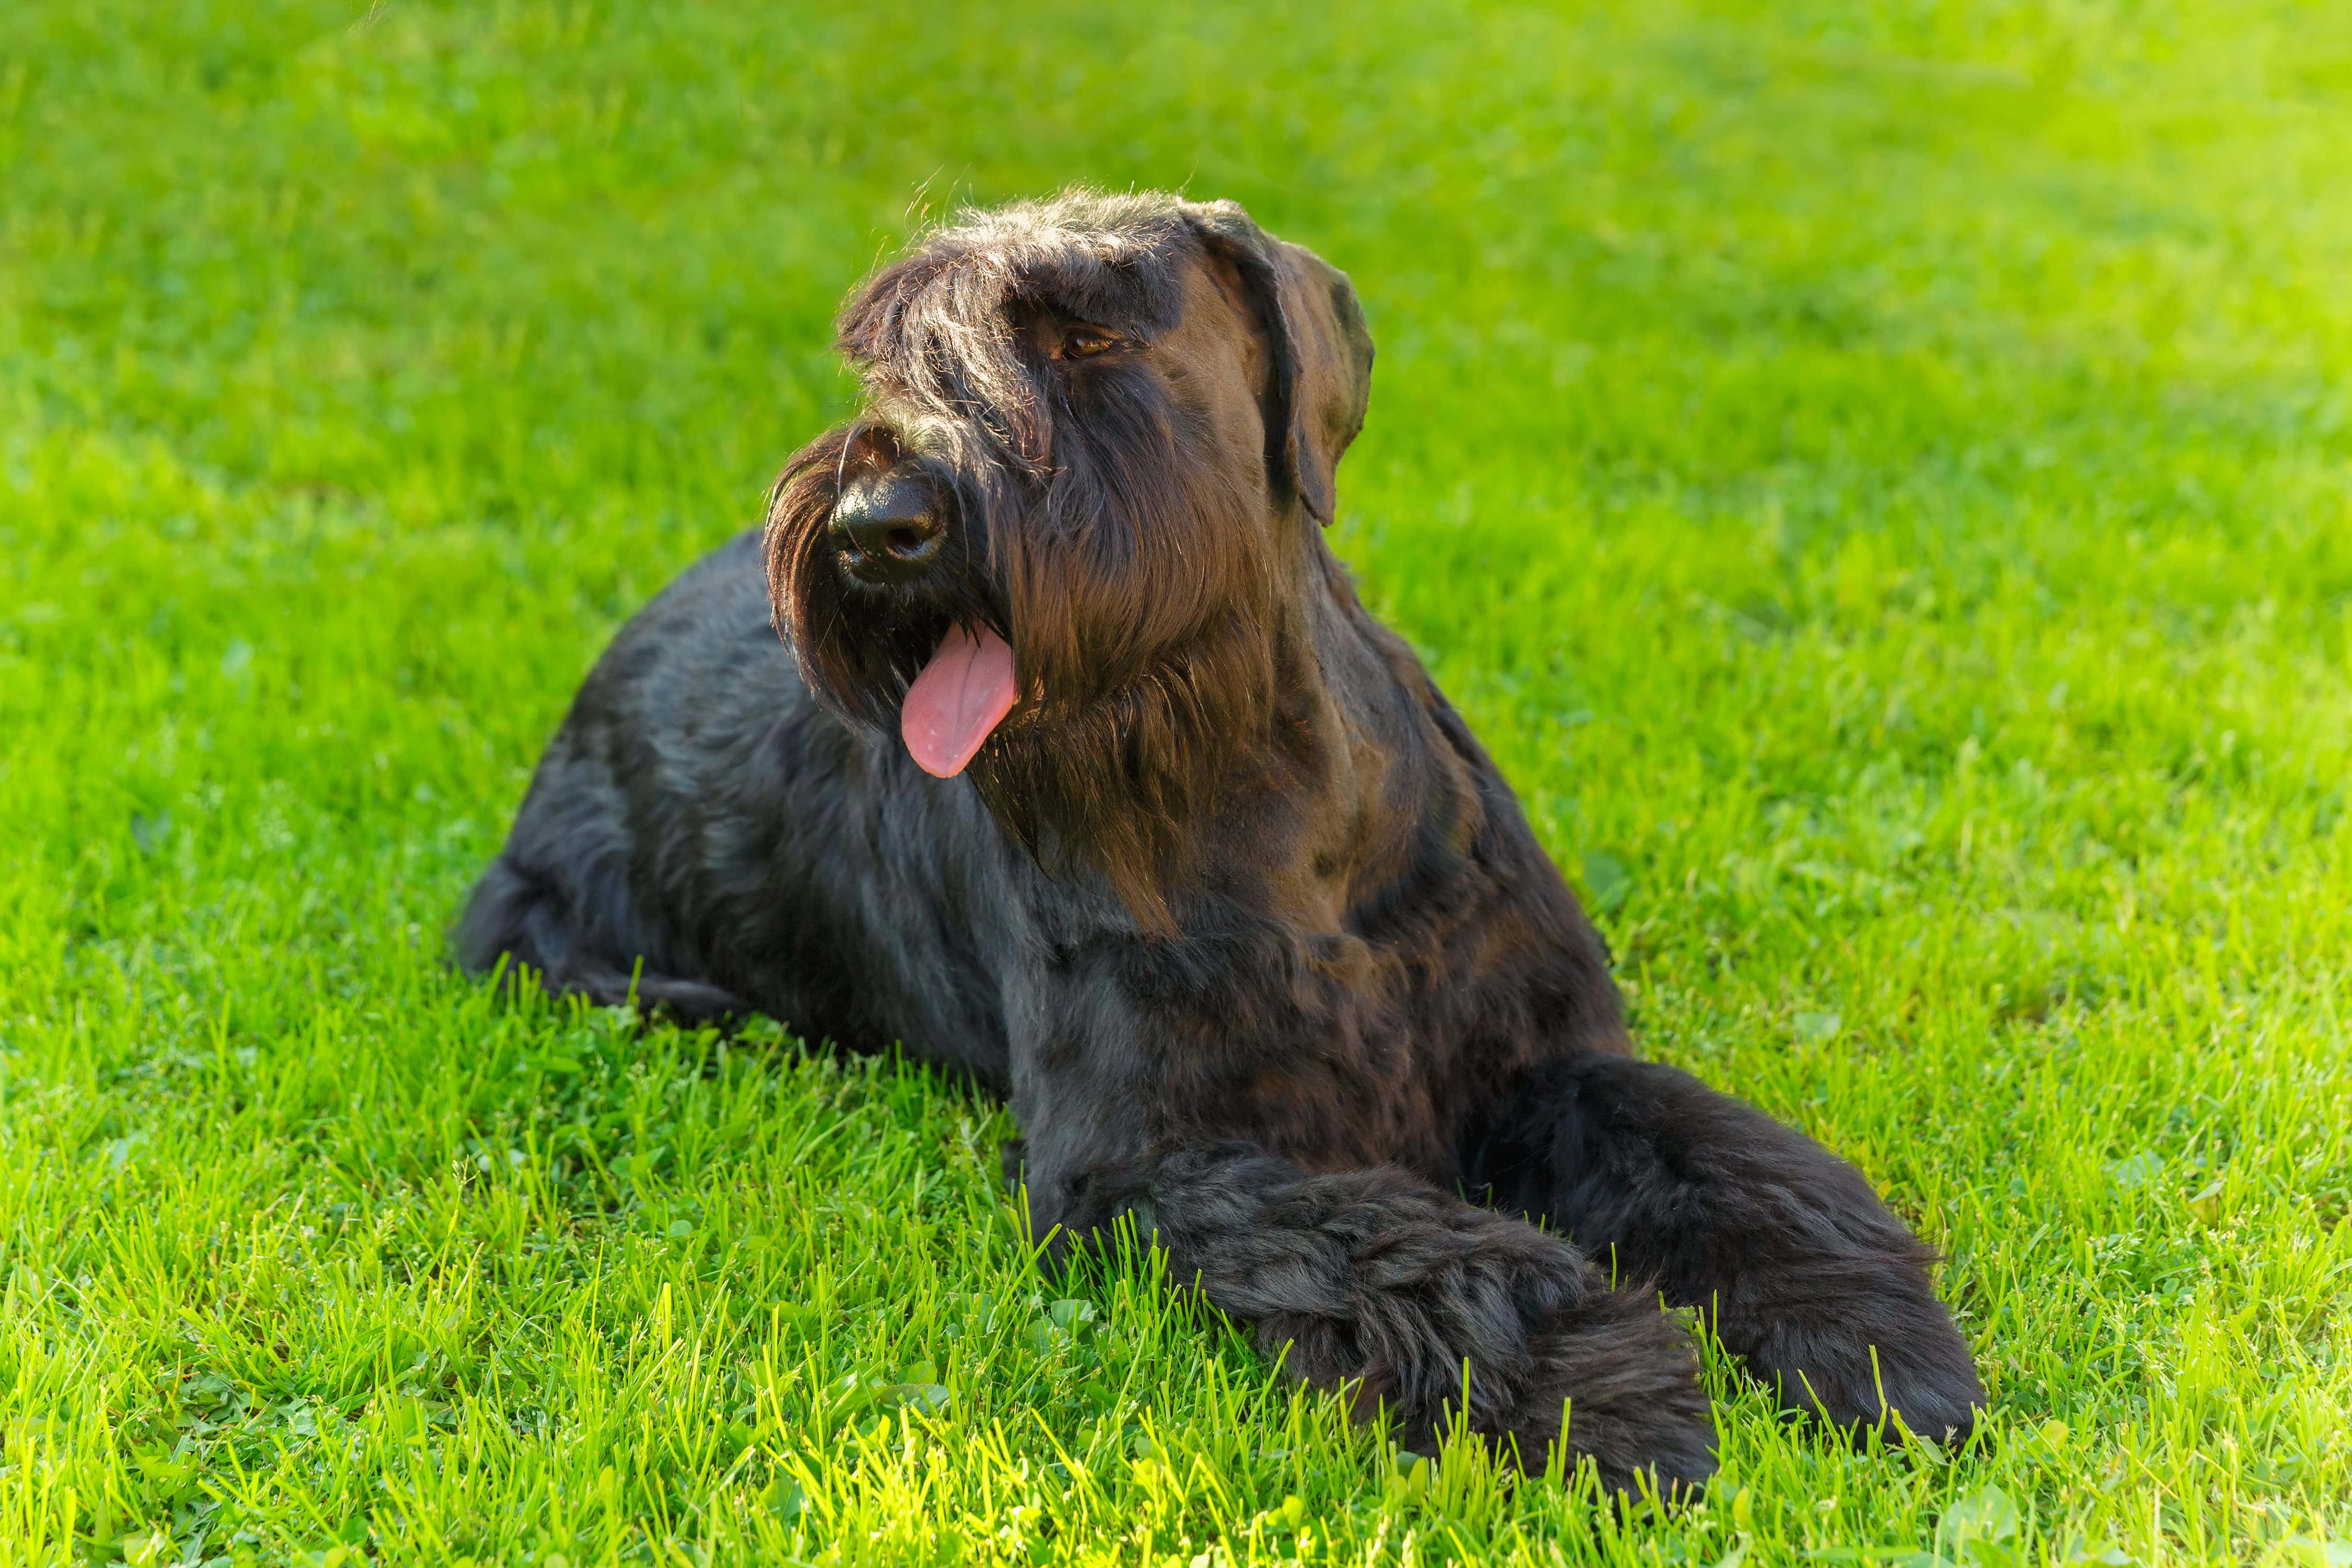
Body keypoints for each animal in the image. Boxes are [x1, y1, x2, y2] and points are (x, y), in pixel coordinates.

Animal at [458, 190, 1985, 1495]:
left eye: (1082, 333)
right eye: (889, 359)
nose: (874, 523)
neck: (1273, 803)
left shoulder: (1541, 1059)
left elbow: (1731, 1161)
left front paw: (1866, 1333)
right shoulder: (1150, 1163)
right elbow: (1431, 1259)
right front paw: (1603, 1389)